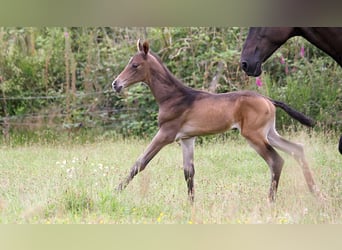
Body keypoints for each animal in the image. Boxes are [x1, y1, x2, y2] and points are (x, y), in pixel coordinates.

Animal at [112, 39, 324, 203]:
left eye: (135, 65)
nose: (116, 84)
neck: (172, 97)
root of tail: (268, 100)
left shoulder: (166, 134)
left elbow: (140, 163)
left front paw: (114, 192)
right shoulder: (187, 139)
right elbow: (189, 172)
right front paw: (191, 205)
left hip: (253, 135)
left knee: (276, 160)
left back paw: (271, 200)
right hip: (270, 133)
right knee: (297, 149)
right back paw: (316, 193)